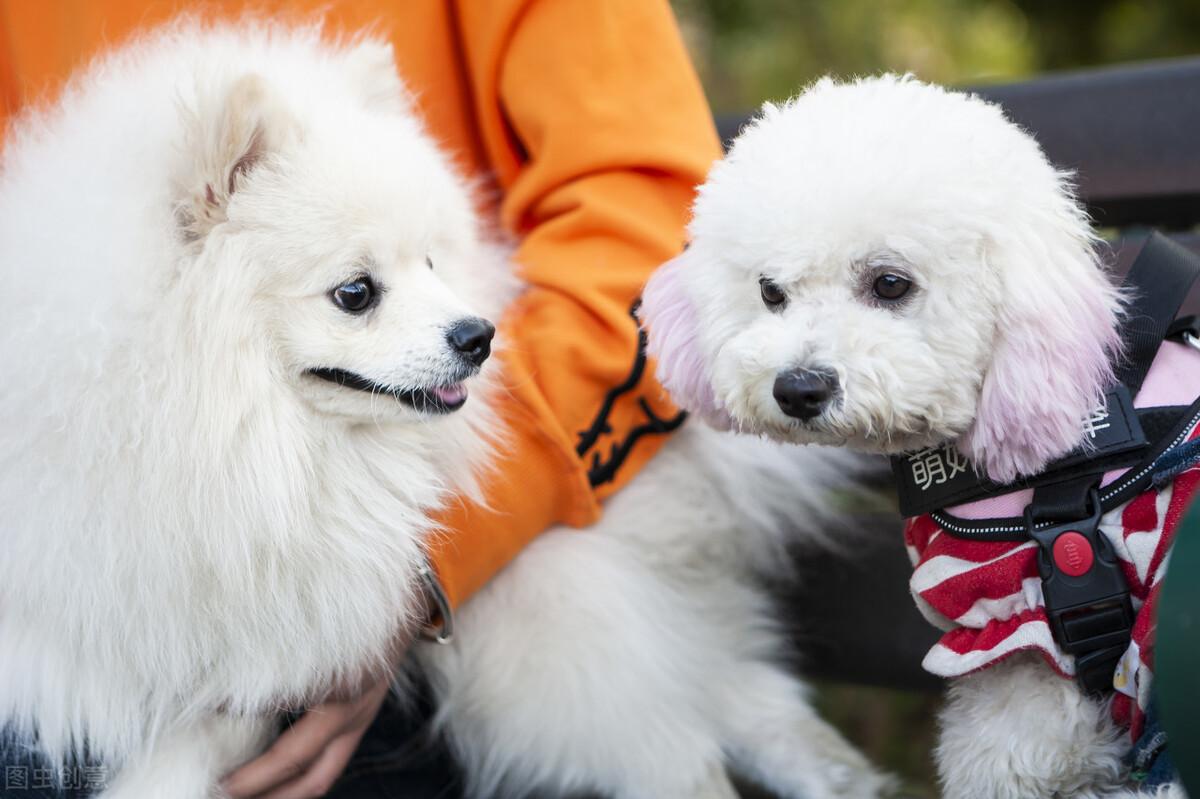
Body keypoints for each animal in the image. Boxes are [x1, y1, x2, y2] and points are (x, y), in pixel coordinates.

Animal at [0, 20, 883, 796]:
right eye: (355, 292)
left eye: (430, 260)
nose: (479, 334)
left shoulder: (276, 645)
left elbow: (193, 744)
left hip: (546, 646)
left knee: (679, 747)